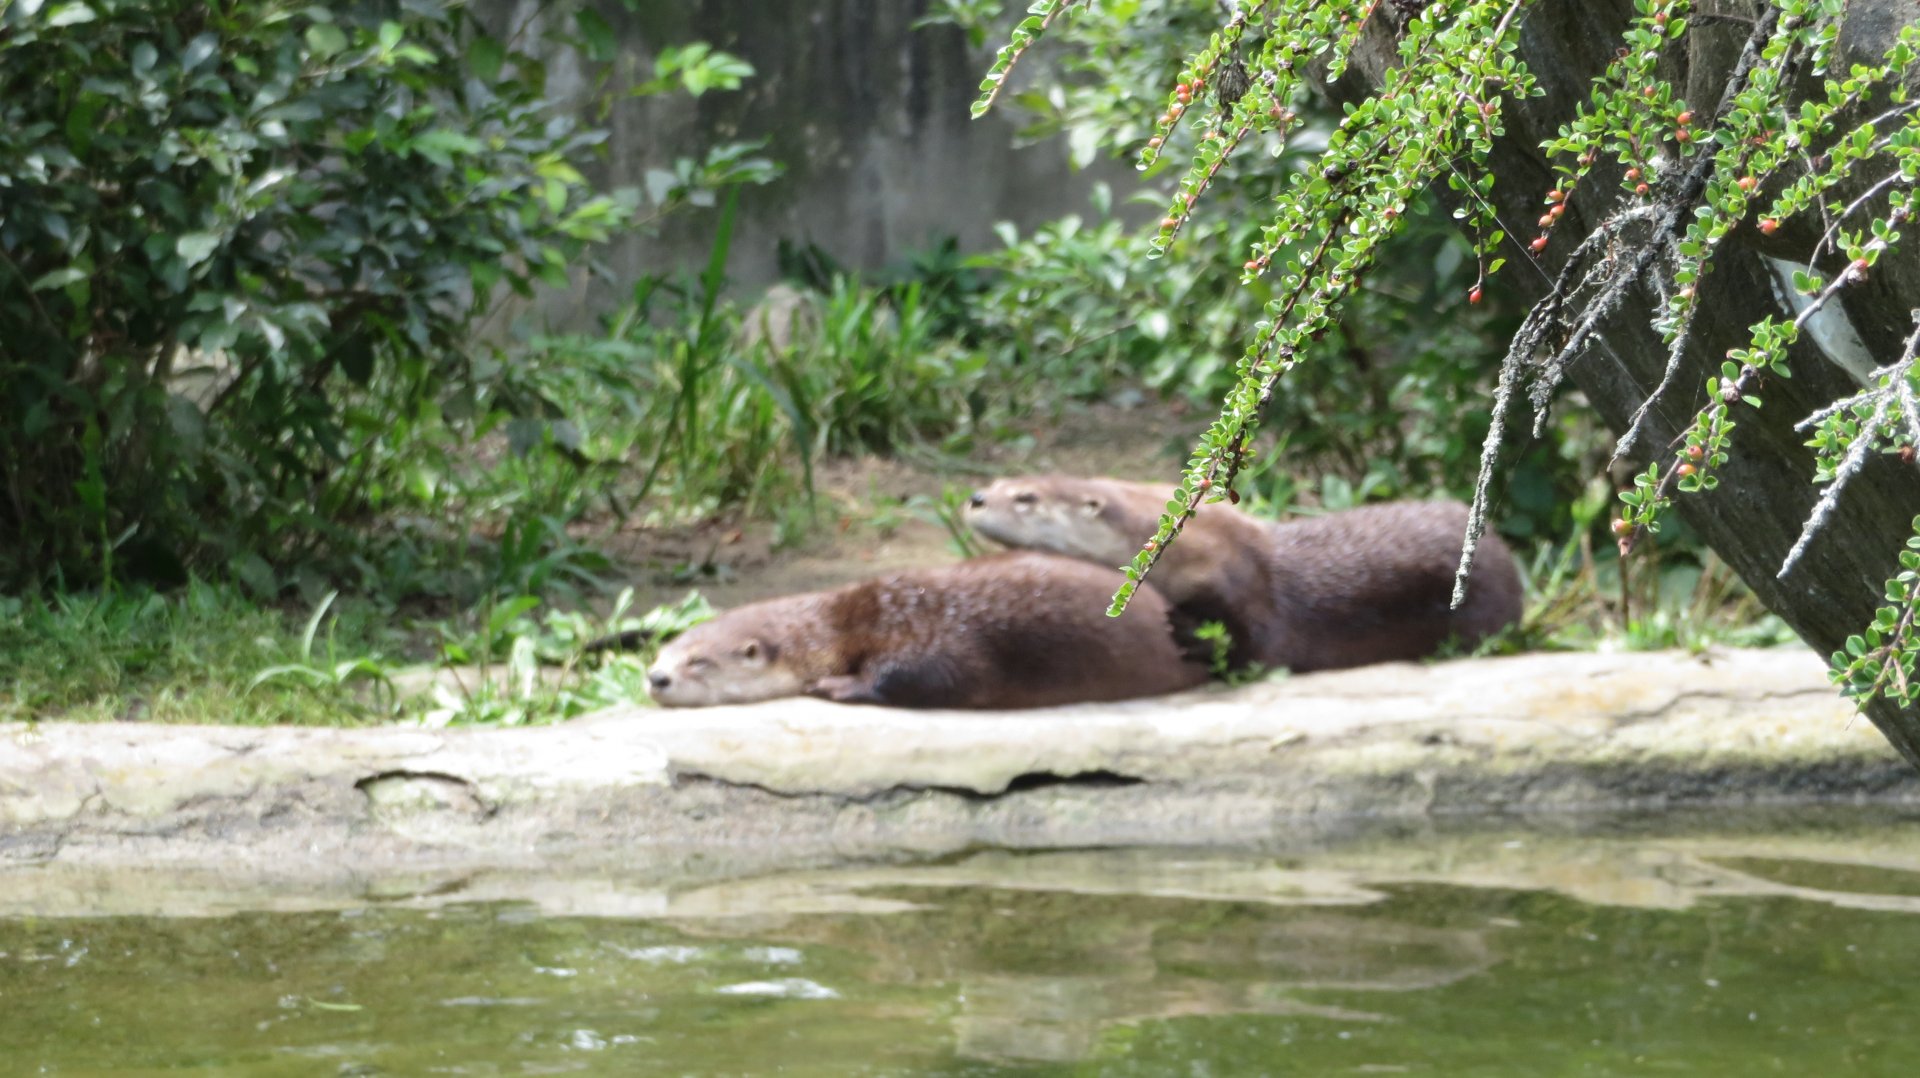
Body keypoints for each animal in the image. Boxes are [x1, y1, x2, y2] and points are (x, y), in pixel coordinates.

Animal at [646, 551, 1209, 708]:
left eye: (698, 662)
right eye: (662, 651)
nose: (655, 679)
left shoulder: (926, 631)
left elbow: (938, 674)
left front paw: (837, 685)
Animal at [965, 475, 1523, 674]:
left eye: (1025, 498)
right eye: (1002, 480)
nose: (975, 497)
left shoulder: (1248, 594)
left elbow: (1256, 645)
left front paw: (1191, 638)